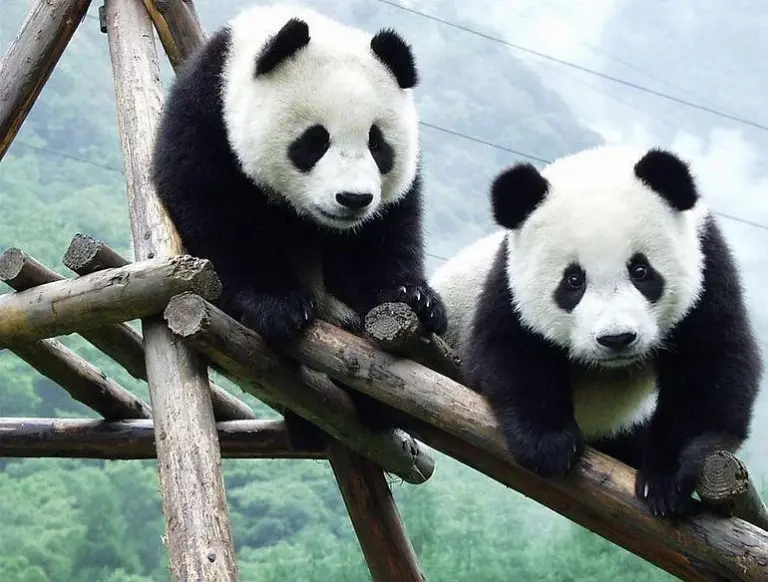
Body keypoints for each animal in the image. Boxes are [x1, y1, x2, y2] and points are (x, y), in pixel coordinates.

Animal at [151, 3, 446, 437]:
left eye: (377, 144)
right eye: (315, 140)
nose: (353, 199)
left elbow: (384, 235)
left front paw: (414, 297)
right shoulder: (208, 116)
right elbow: (215, 212)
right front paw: (280, 306)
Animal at [430, 145, 762, 516]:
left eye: (641, 270)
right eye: (573, 280)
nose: (616, 338)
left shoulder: (709, 266)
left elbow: (712, 366)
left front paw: (666, 478)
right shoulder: (508, 281)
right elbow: (506, 350)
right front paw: (548, 444)